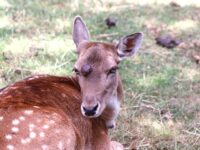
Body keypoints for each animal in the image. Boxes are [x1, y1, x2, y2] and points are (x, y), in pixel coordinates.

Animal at [0, 15, 142, 149]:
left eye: (113, 69)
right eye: (76, 69)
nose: (89, 109)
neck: (108, 118)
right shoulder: (100, 141)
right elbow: (119, 144)